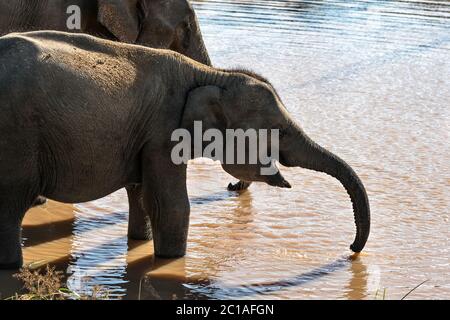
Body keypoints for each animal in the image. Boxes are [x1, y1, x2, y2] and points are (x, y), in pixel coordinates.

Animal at [0, 31, 370, 268]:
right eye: (278, 131)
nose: (351, 250)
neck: (213, 75)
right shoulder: (162, 131)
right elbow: (171, 205)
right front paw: (170, 261)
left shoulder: (144, 136)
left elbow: (142, 195)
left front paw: (141, 243)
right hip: (17, 137)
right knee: (11, 205)